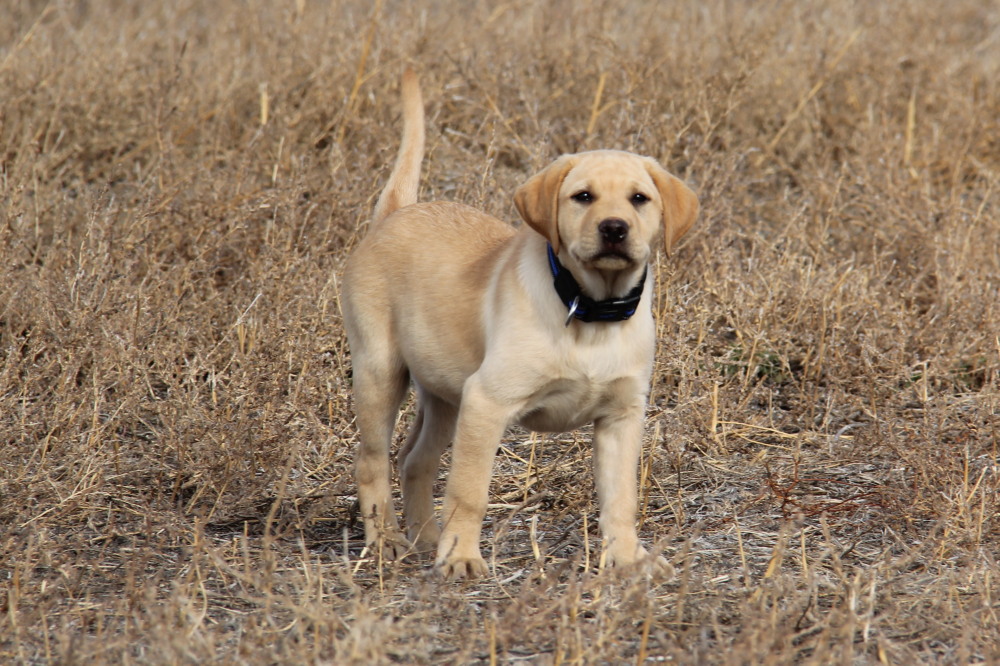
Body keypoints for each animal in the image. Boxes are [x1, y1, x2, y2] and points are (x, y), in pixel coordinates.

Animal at [342, 70, 696, 572]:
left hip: (445, 394)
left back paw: (426, 538)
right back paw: (386, 541)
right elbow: (469, 491)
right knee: (371, 460)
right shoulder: (487, 401)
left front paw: (628, 559)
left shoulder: (622, 416)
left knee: (415, 460)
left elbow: (621, 498)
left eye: (640, 199)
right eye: (582, 197)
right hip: (381, 372)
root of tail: (394, 215)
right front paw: (461, 556)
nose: (614, 228)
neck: (590, 309)